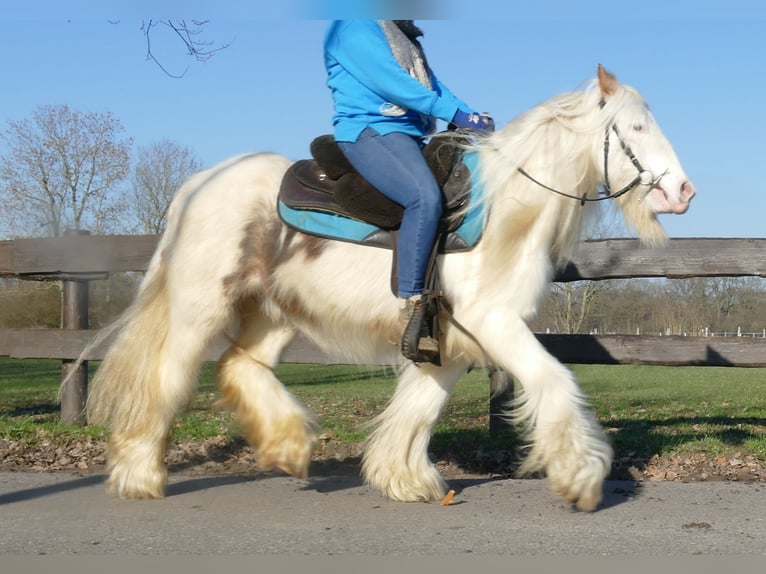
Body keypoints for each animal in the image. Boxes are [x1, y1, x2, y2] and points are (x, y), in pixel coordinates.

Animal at [78, 66, 696, 512]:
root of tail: (202, 183)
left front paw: (404, 479)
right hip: (200, 311)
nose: (683, 191)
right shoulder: (494, 323)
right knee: (167, 380)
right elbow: (555, 380)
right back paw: (139, 474)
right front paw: (581, 477)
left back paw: (289, 445)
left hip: (273, 314)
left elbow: (419, 408)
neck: (502, 208)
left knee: (239, 365)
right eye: (636, 127)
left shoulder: (451, 339)